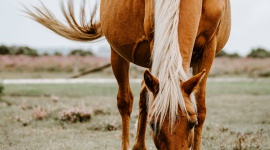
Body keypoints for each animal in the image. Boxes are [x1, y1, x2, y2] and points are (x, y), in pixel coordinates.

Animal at [26, 0, 231, 149]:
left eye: (192, 123)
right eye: (153, 125)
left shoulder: (208, 48)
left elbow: (201, 107)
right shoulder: (153, 40)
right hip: (118, 54)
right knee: (126, 101)